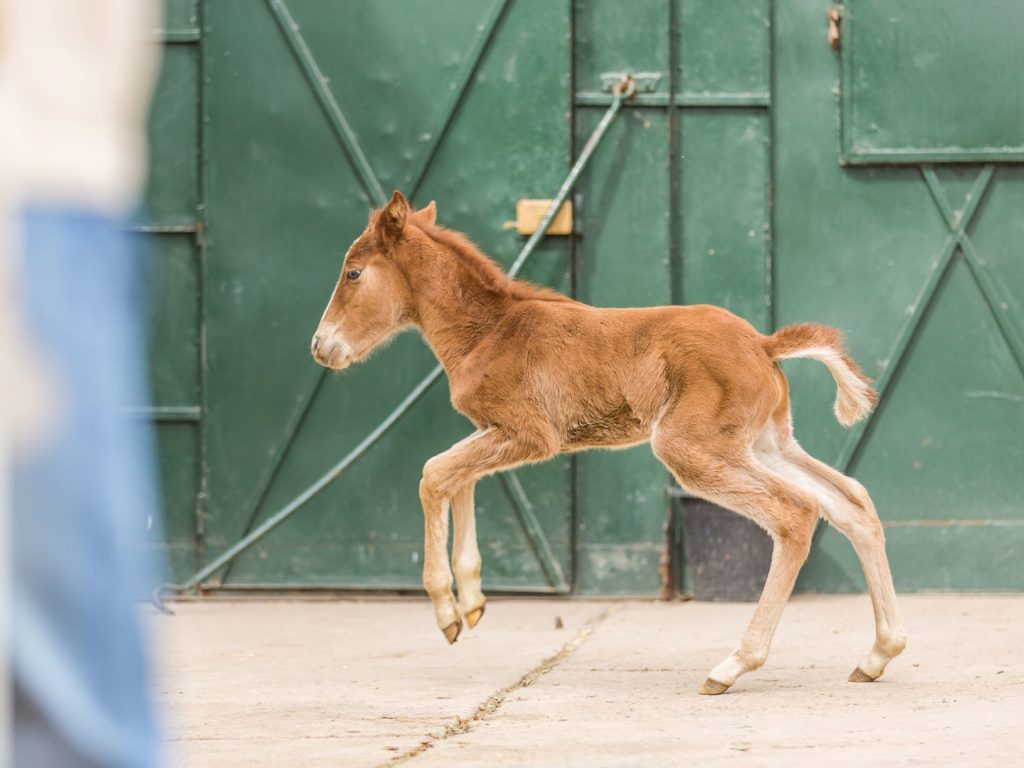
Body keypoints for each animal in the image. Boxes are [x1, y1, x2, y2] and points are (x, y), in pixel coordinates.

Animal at [311, 191, 906, 694]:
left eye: (353, 272)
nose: (321, 347)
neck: (490, 332)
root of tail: (763, 344)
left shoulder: (530, 434)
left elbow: (435, 473)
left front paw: (446, 613)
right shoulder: (495, 432)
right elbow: (460, 479)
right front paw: (473, 602)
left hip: (692, 446)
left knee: (796, 512)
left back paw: (734, 664)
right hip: (765, 443)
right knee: (852, 501)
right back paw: (879, 653)